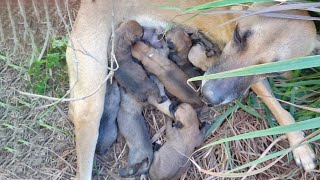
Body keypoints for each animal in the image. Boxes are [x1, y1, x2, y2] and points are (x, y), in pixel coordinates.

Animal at [65, 0, 318, 179]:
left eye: (276, 72)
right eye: (238, 35)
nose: (209, 96)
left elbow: (280, 110)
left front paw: (300, 145)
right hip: (91, 104)